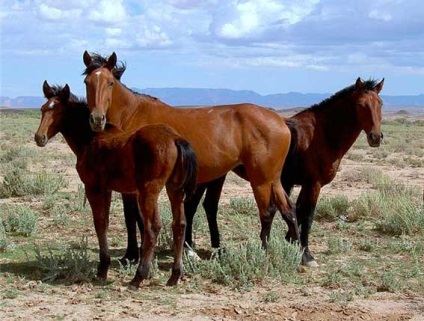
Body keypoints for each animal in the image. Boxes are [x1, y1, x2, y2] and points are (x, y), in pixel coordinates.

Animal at [34, 81, 198, 286]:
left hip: (149, 190)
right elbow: (105, 222)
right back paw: (174, 276)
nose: (39, 137)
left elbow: (99, 223)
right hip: (174, 189)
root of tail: (175, 138)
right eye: (42, 109)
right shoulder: (107, 189)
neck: (90, 139)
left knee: (153, 227)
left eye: (58, 111)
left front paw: (102, 269)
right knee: (179, 224)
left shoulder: (92, 187)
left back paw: (138, 277)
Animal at [83, 50, 300, 260]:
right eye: (87, 82)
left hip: (260, 179)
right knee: (288, 209)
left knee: (267, 212)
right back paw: (302, 253)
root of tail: (281, 120)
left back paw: (264, 252)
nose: (97, 119)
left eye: (110, 82)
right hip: (272, 178)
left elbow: (133, 217)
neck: (133, 115)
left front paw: (132, 255)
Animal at [185, 77, 384, 264]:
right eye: (360, 105)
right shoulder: (313, 184)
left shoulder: (301, 184)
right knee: (192, 206)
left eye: (380, 104)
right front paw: (305, 253)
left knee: (208, 206)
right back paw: (190, 250)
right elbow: (307, 216)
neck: (320, 135)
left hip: (218, 176)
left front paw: (292, 241)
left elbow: (297, 213)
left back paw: (213, 248)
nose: (376, 137)